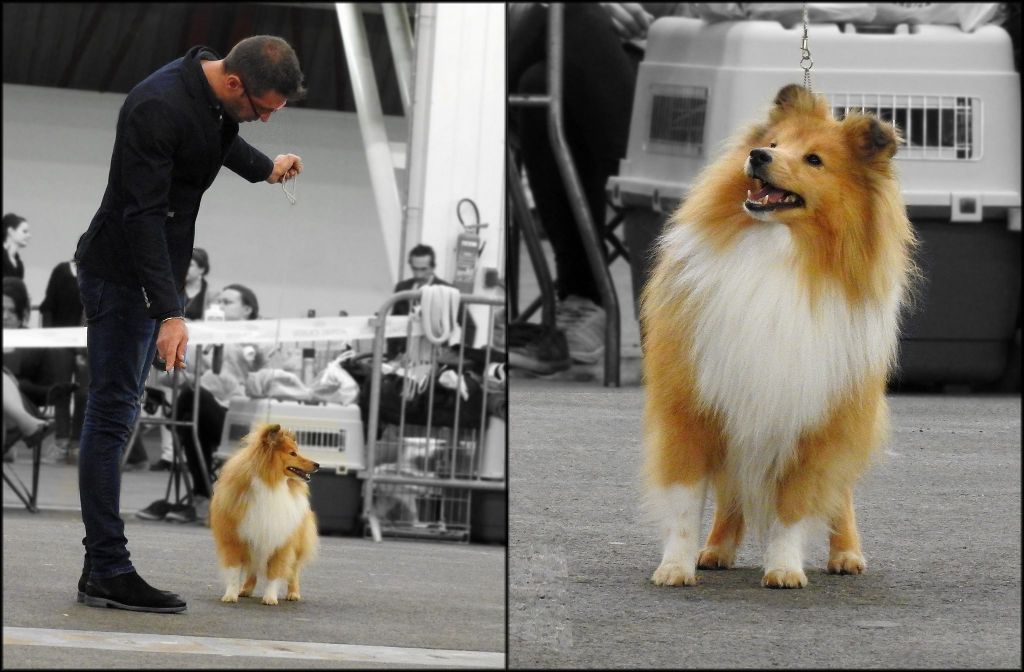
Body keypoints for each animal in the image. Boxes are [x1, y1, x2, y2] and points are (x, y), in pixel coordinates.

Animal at [208, 422, 317, 602]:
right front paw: (230, 596)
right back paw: (245, 589)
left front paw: (270, 598)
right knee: (252, 569)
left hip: (297, 541)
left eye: (297, 451)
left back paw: (293, 593)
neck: (271, 484)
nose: (318, 464)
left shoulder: (281, 540)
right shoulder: (234, 539)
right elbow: (234, 572)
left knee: (293, 569)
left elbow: (275, 572)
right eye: (292, 453)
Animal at [643, 84, 917, 590]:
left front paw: (785, 568)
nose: (758, 156)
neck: (775, 249)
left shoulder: (810, 420)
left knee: (839, 492)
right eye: (773, 142)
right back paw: (716, 550)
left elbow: (795, 503)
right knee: (731, 495)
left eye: (814, 160)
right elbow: (685, 502)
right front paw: (675, 567)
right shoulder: (691, 408)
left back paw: (846, 555)